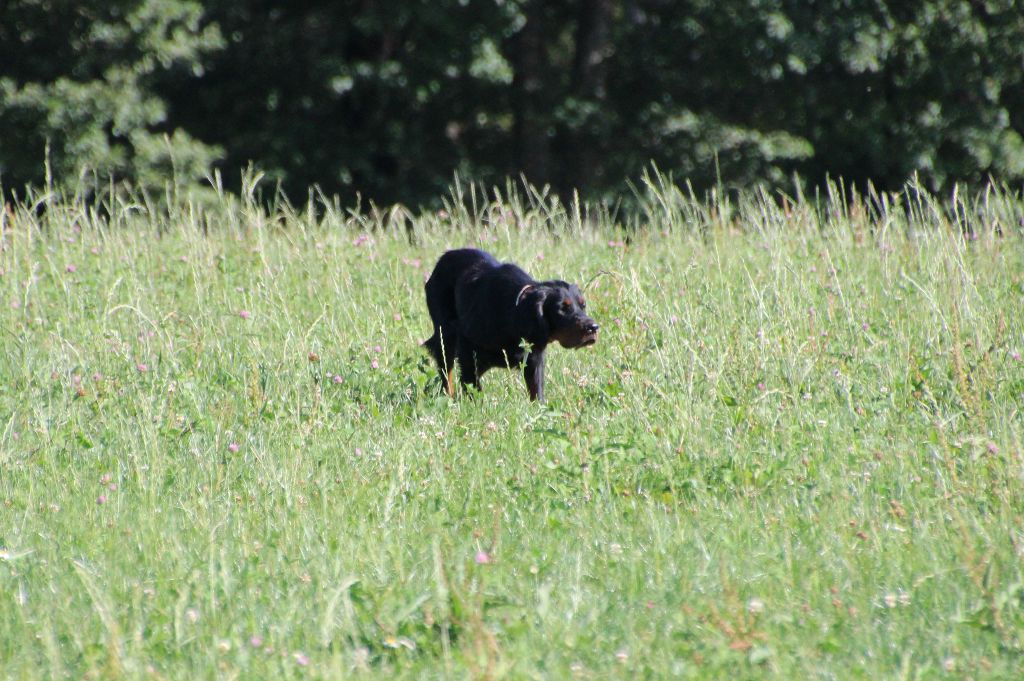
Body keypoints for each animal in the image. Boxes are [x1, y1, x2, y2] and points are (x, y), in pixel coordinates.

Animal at [423, 248, 598, 399]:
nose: (593, 328)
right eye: (562, 308)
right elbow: (472, 387)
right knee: (447, 373)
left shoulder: (534, 358)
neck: (514, 314)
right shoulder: (467, 350)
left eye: (583, 305)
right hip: (445, 335)